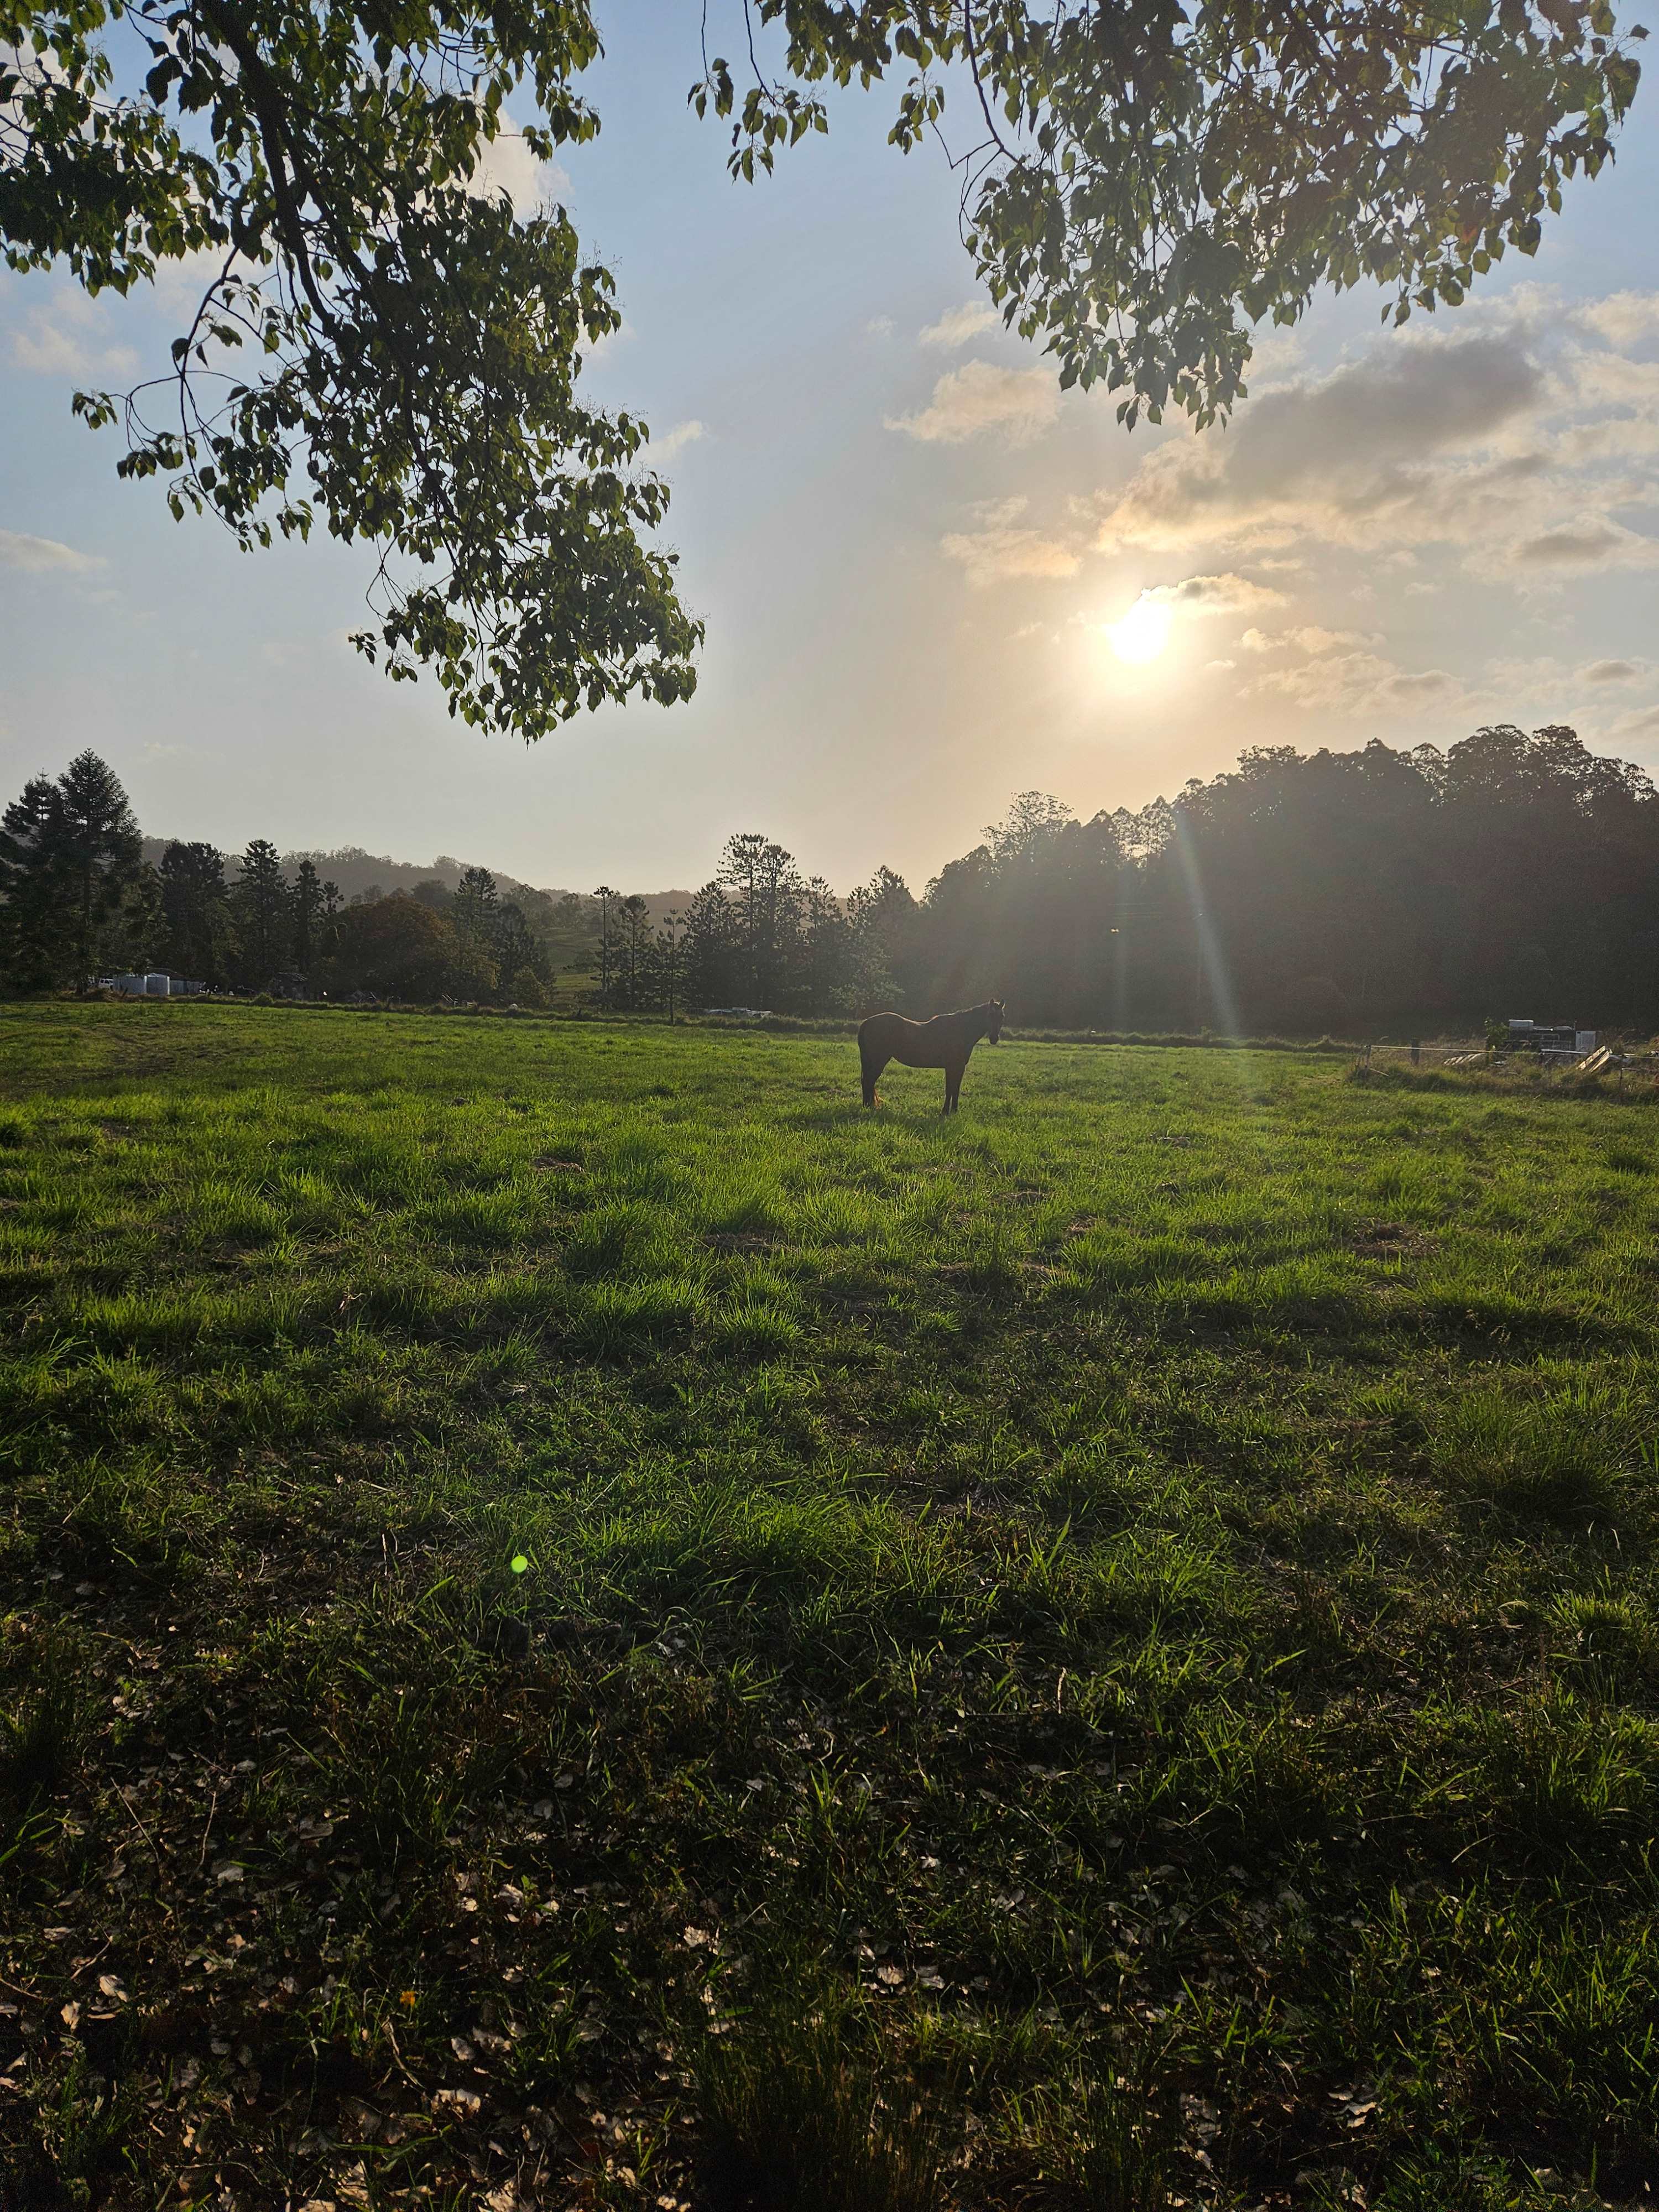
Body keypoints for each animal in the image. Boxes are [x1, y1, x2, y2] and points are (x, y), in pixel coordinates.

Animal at [858, 1001, 1005, 1114]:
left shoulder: (956, 1068)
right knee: (869, 1081)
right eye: (990, 1015)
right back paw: (869, 1106)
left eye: (1002, 1016)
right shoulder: (954, 1067)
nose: (994, 1039)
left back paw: (868, 1105)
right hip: (879, 1061)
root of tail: (867, 1022)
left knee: (867, 1081)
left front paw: (953, 1111)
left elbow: (955, 1089)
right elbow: (951, 1089)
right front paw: (946, 1112)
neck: (959, 1030)